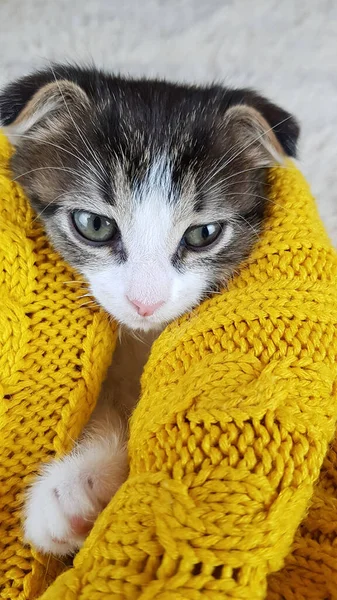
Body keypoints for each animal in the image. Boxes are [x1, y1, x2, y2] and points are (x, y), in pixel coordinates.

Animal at [0, 63, 300, 556]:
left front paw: (74, 489)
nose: (146, 301)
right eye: (94, 225)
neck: (140, 338)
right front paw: (78, 484)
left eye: (204, 234)